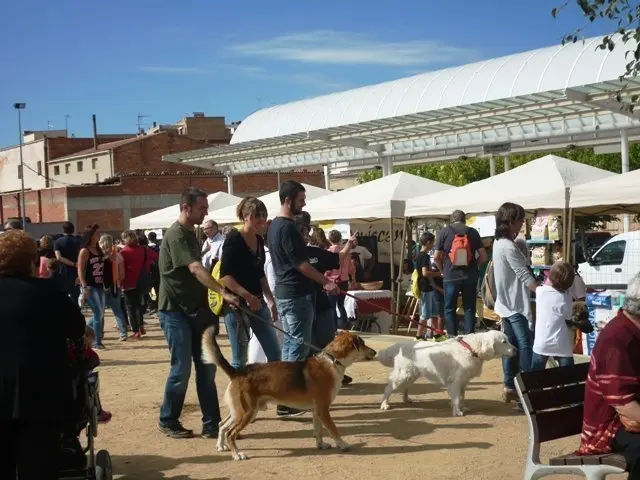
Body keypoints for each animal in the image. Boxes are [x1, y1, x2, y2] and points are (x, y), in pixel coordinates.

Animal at [202, 328, 378, 460]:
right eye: (363, 344)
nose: (375, 352)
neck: (332, 361)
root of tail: (238, 372)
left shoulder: (317, 410)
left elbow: (318, 431)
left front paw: (320, 445)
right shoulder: (323, 409)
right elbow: (333, 429)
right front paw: (342, 444)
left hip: (239, 412)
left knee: (222, 425)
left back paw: (220, 446)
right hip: (248, 413)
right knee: (230, 433)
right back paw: (237, 454)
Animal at [378, 330, 516, 416]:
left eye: (508, 340)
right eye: (504, 341)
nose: (516, 349)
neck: (471, 349)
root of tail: (400, 345)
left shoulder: (464, 381)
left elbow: (462, 396)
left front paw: (463, 407)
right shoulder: (456, 381)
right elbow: (456, 398)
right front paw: (457, 412)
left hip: (411, 374)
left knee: (405, 388)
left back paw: (406, 399)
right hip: (403, 374)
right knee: (388, 388)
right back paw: (384, 404)